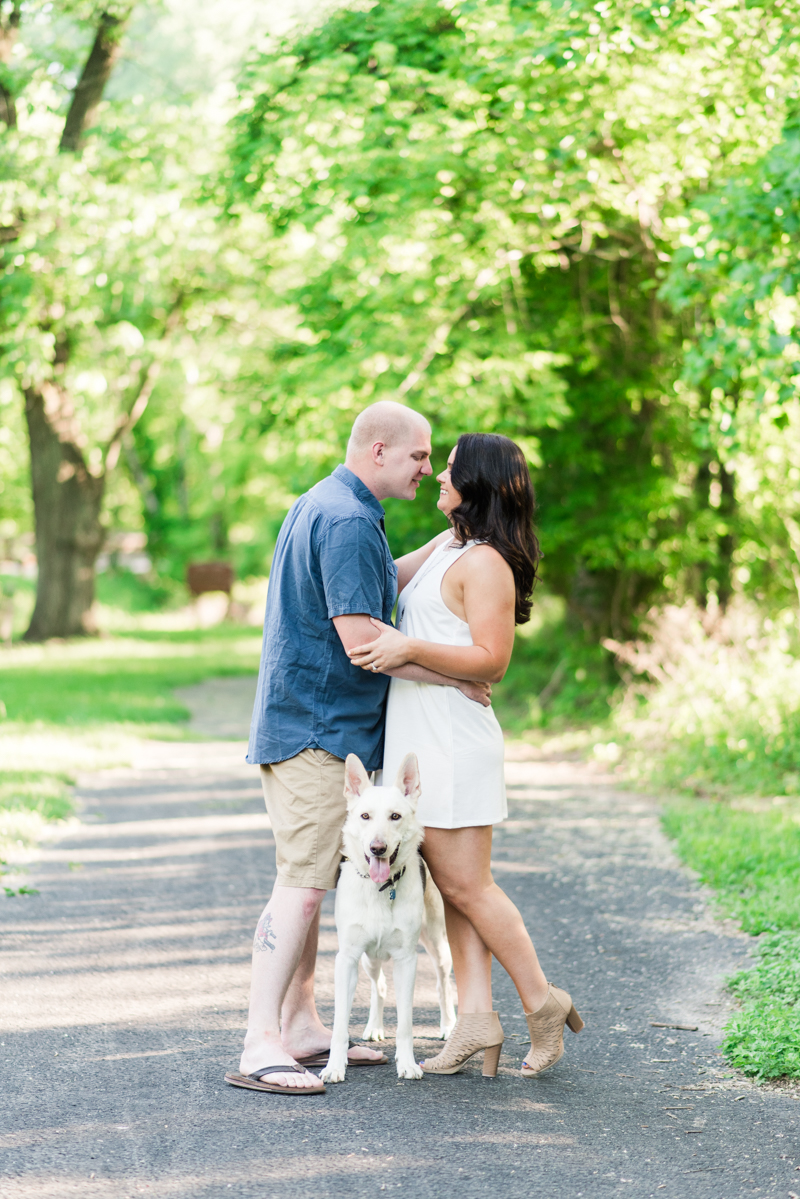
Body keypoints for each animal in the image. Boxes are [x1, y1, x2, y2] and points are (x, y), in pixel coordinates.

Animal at [319, 752, 455, 1083]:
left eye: (395, 816)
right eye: (365, 816)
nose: (377, 848)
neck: (380, 888)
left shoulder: (407, 960)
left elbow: (405, 1023)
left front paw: (406, 1063)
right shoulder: (347, 959)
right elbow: (340, 1024)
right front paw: (334, 1066)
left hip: (438, 945)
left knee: (443, 984)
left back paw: (448, 1025)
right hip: (370, 959)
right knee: (378, 986)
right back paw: (375, 1027)